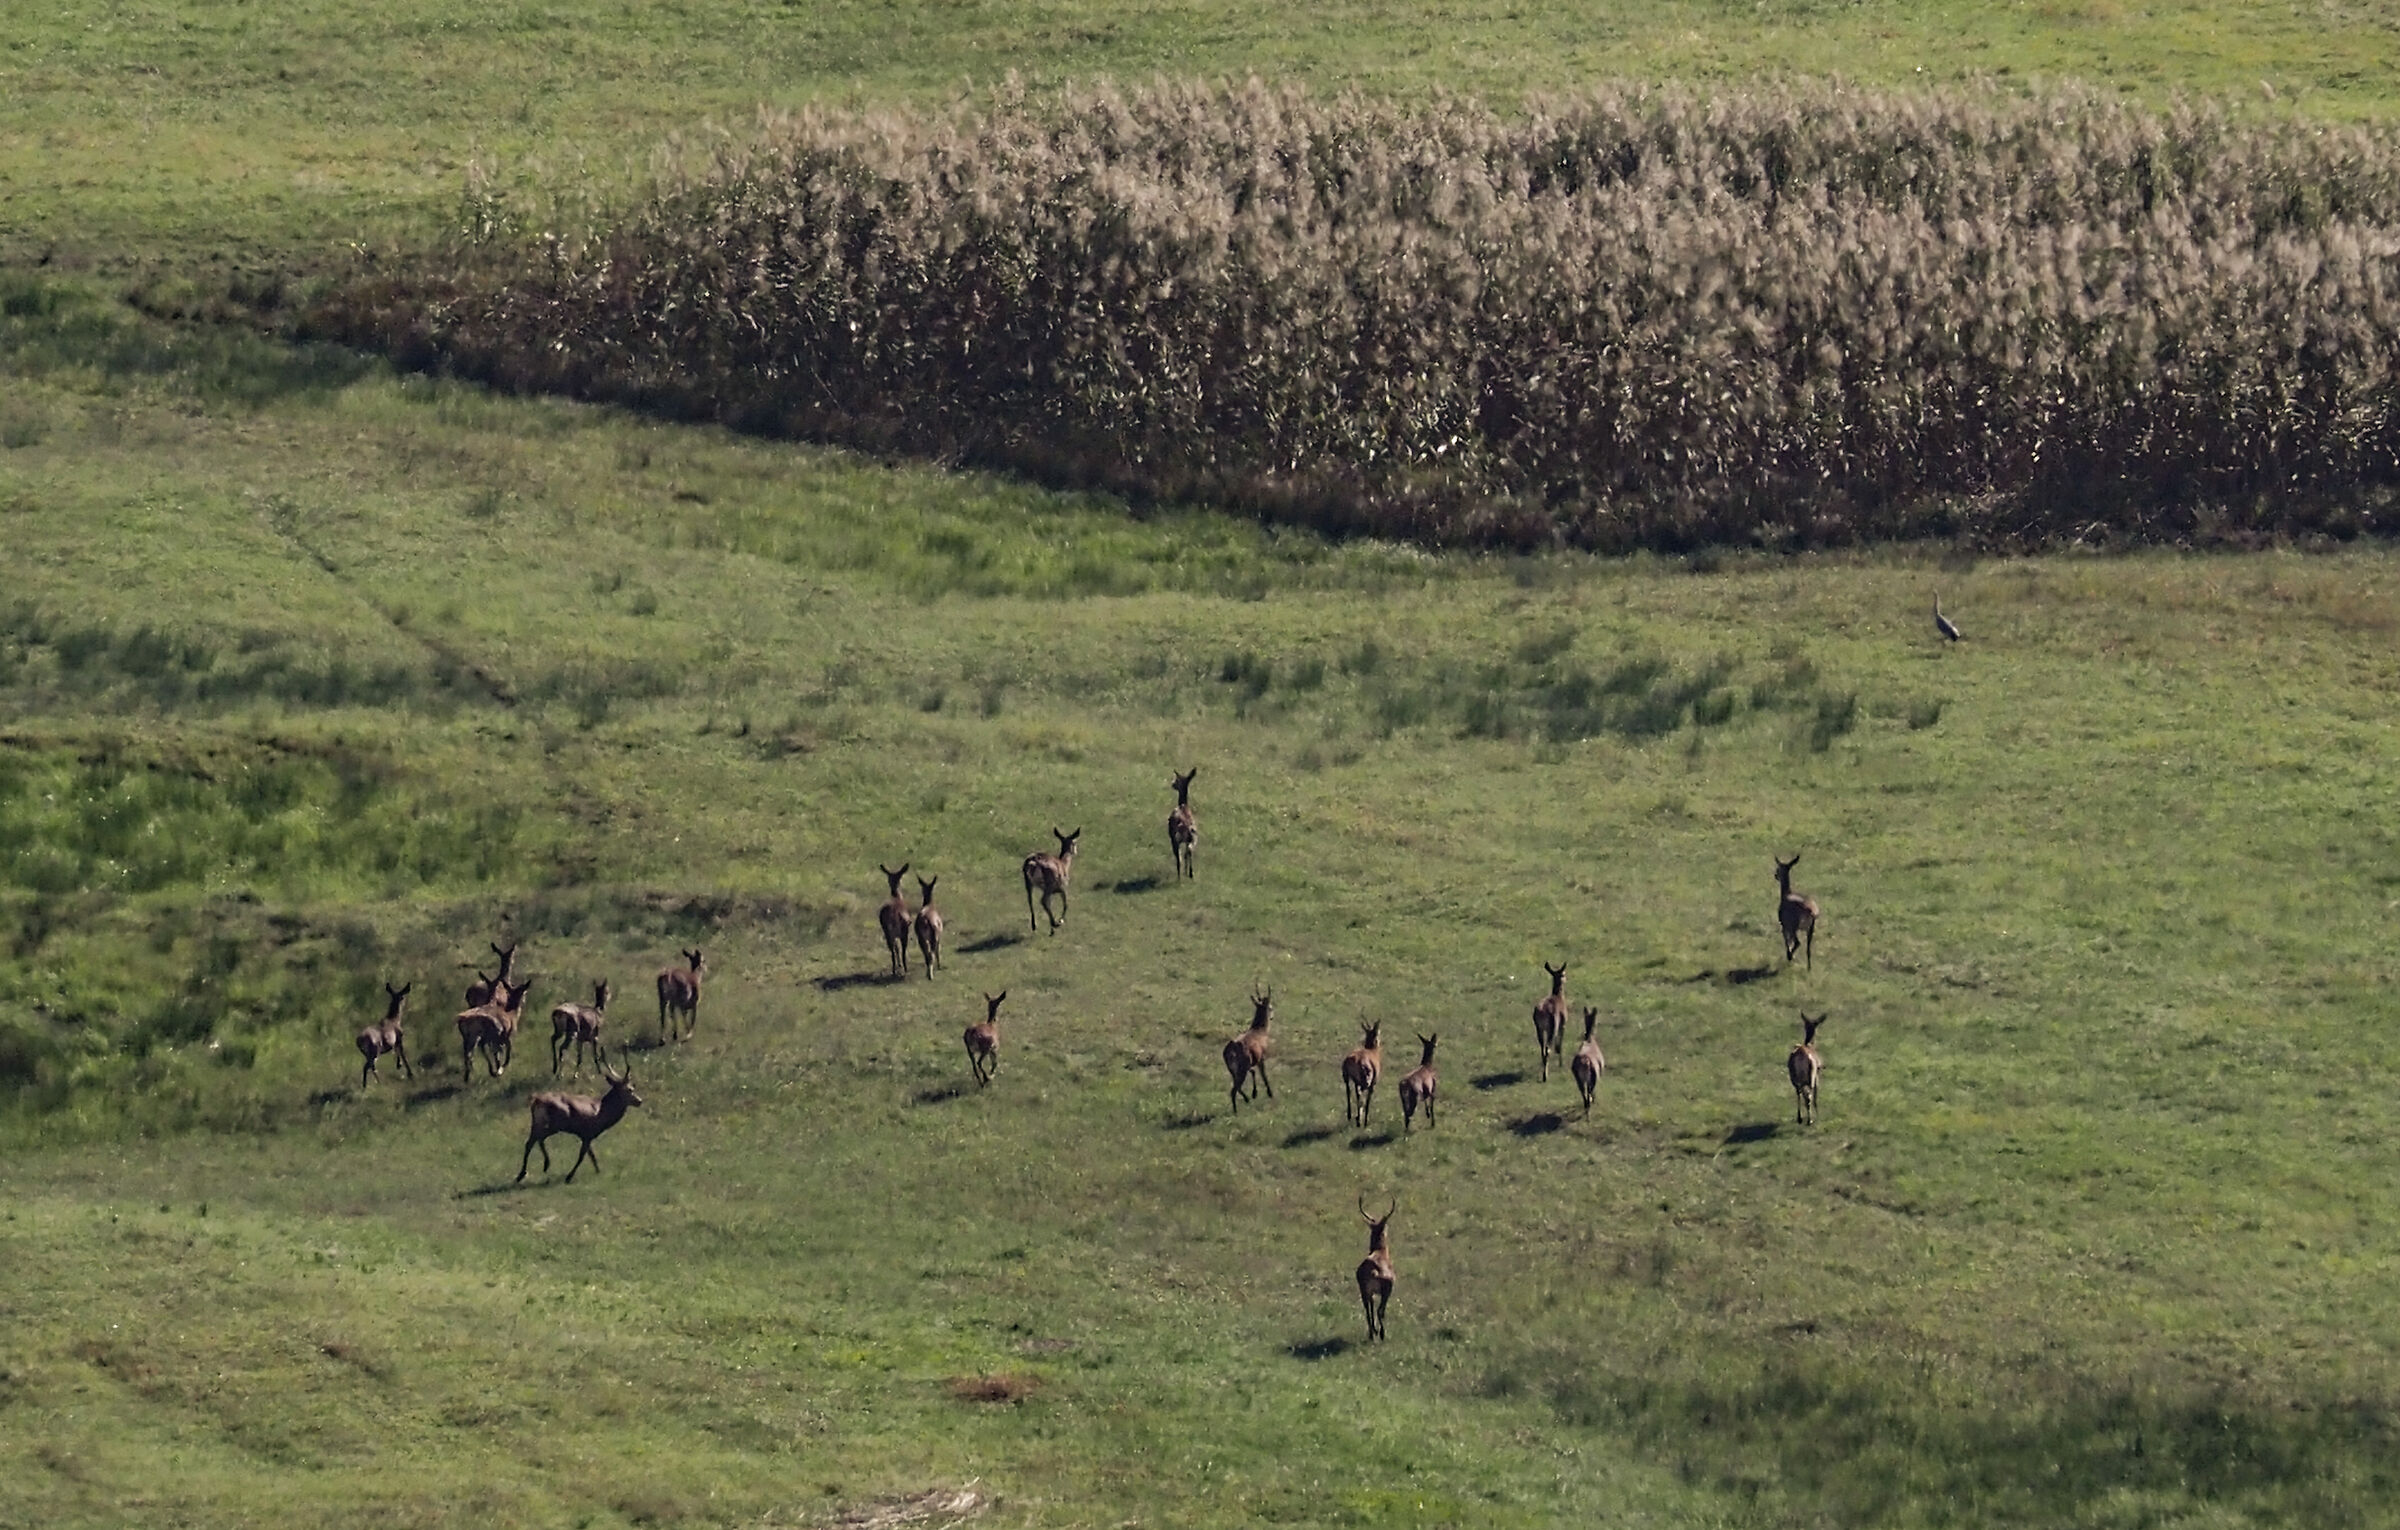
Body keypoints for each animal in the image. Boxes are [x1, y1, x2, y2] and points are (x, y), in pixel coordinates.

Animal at [1355, 1196, 1396, 1342]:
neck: (1380, 1251)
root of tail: (1374, 1271)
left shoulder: (1370, 1292)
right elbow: (1381, 1311)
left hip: (1364, 1291)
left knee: (1368, 1310)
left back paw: (1372, 1333)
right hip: (1384, 1291)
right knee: (1379, 1311)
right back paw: (1381, 1333)